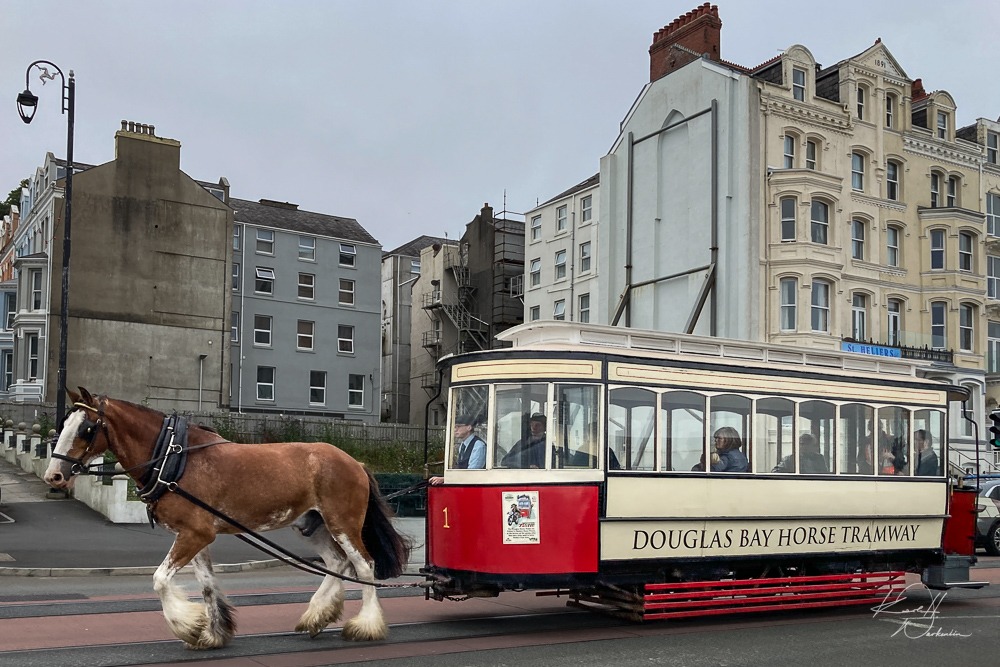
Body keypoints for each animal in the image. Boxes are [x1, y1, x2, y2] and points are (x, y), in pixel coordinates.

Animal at [42, 388, 410, 648]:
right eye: (63, 425)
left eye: (88, 428)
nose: (53, 476)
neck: (174, 459)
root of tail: (354, 461)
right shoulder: (195, 535)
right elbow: (206, 584)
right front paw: (212, 633)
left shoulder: (195, 535)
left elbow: (160, 579)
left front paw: (188, 627)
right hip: (312, 525)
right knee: (336, 562)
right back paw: (316, 616)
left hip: (343, 522)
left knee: (364, 565)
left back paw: (366, 626)